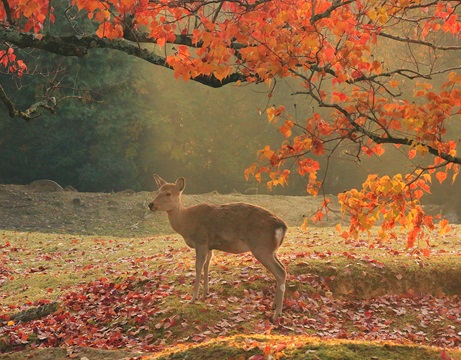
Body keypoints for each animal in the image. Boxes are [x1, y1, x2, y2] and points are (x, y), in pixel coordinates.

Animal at [147, 175, 286, 320]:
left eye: (168, 193)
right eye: (158, 191)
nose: (151, 204)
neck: (187, 224)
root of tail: (282, 226)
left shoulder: (201, 241)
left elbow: (198, 267)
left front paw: (193, 298)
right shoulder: (209, 246)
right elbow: (207, 266)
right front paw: (205, 293)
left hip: (261, 247)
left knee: (281, 272)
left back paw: (277, 313)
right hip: (271, 250)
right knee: (282, 268)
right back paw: (274, 306)